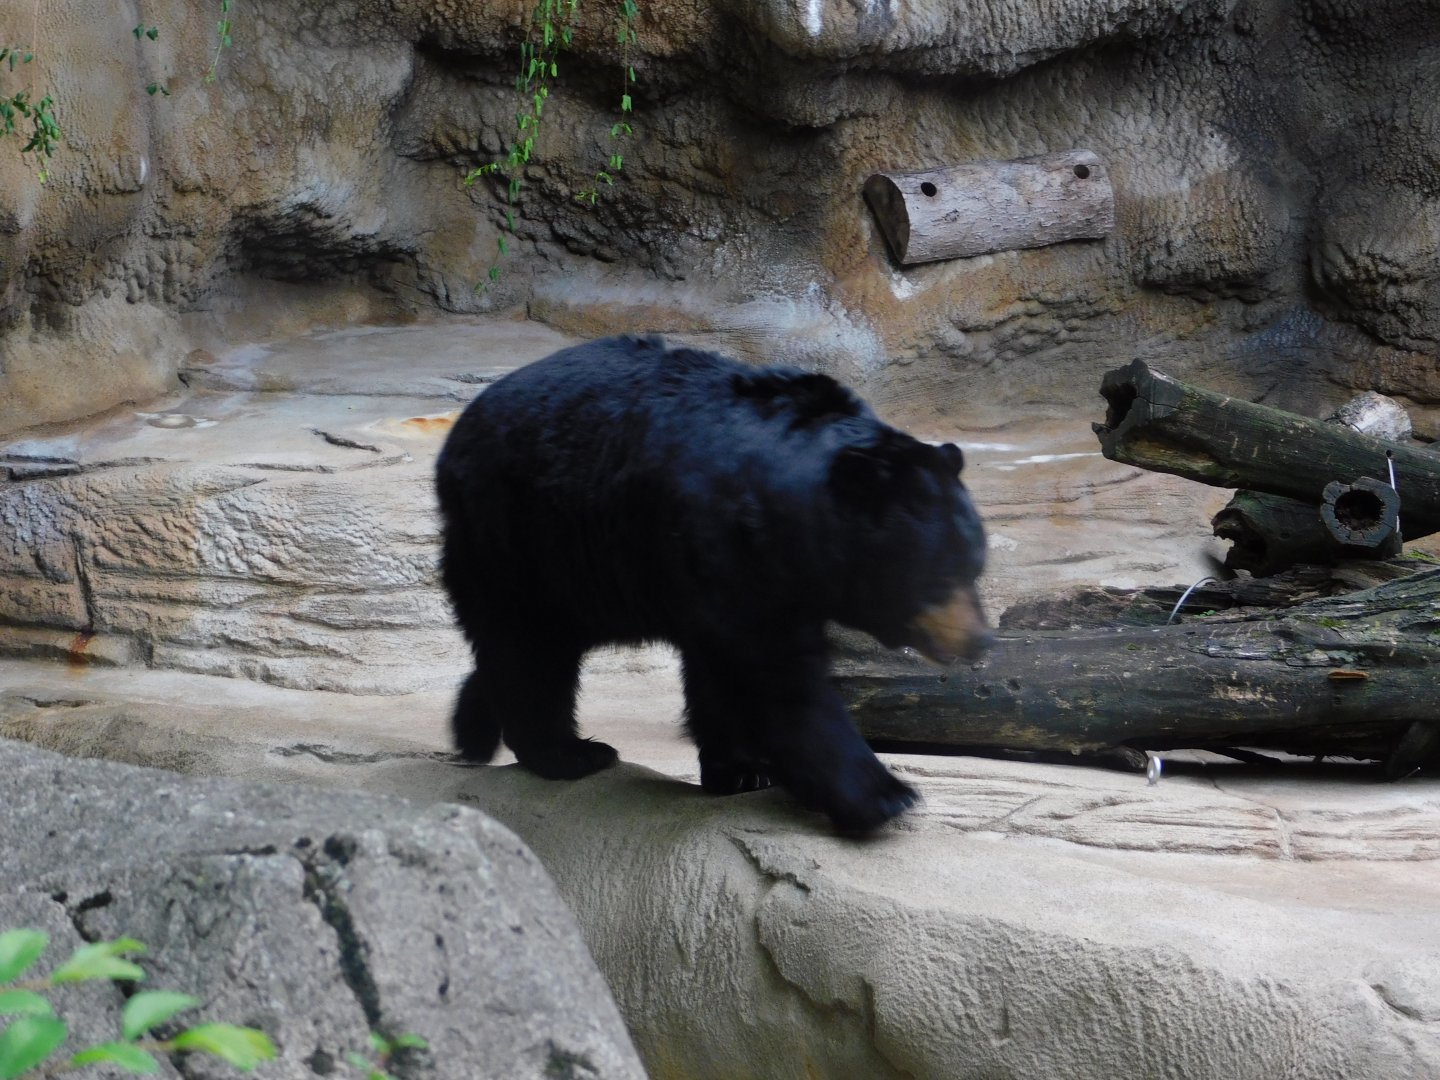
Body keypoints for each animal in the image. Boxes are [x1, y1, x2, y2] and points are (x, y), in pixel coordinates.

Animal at [434, 334, 990, 832]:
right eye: (939, 575)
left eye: (975, 564)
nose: (979, 640)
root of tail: (459, 429)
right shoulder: (726, 543)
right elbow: (774, 675)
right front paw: (882, 795)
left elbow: (719, 667)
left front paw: (742, 770)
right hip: (520, 533)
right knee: (528, 644)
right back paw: (568, 753)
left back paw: (475, 723)